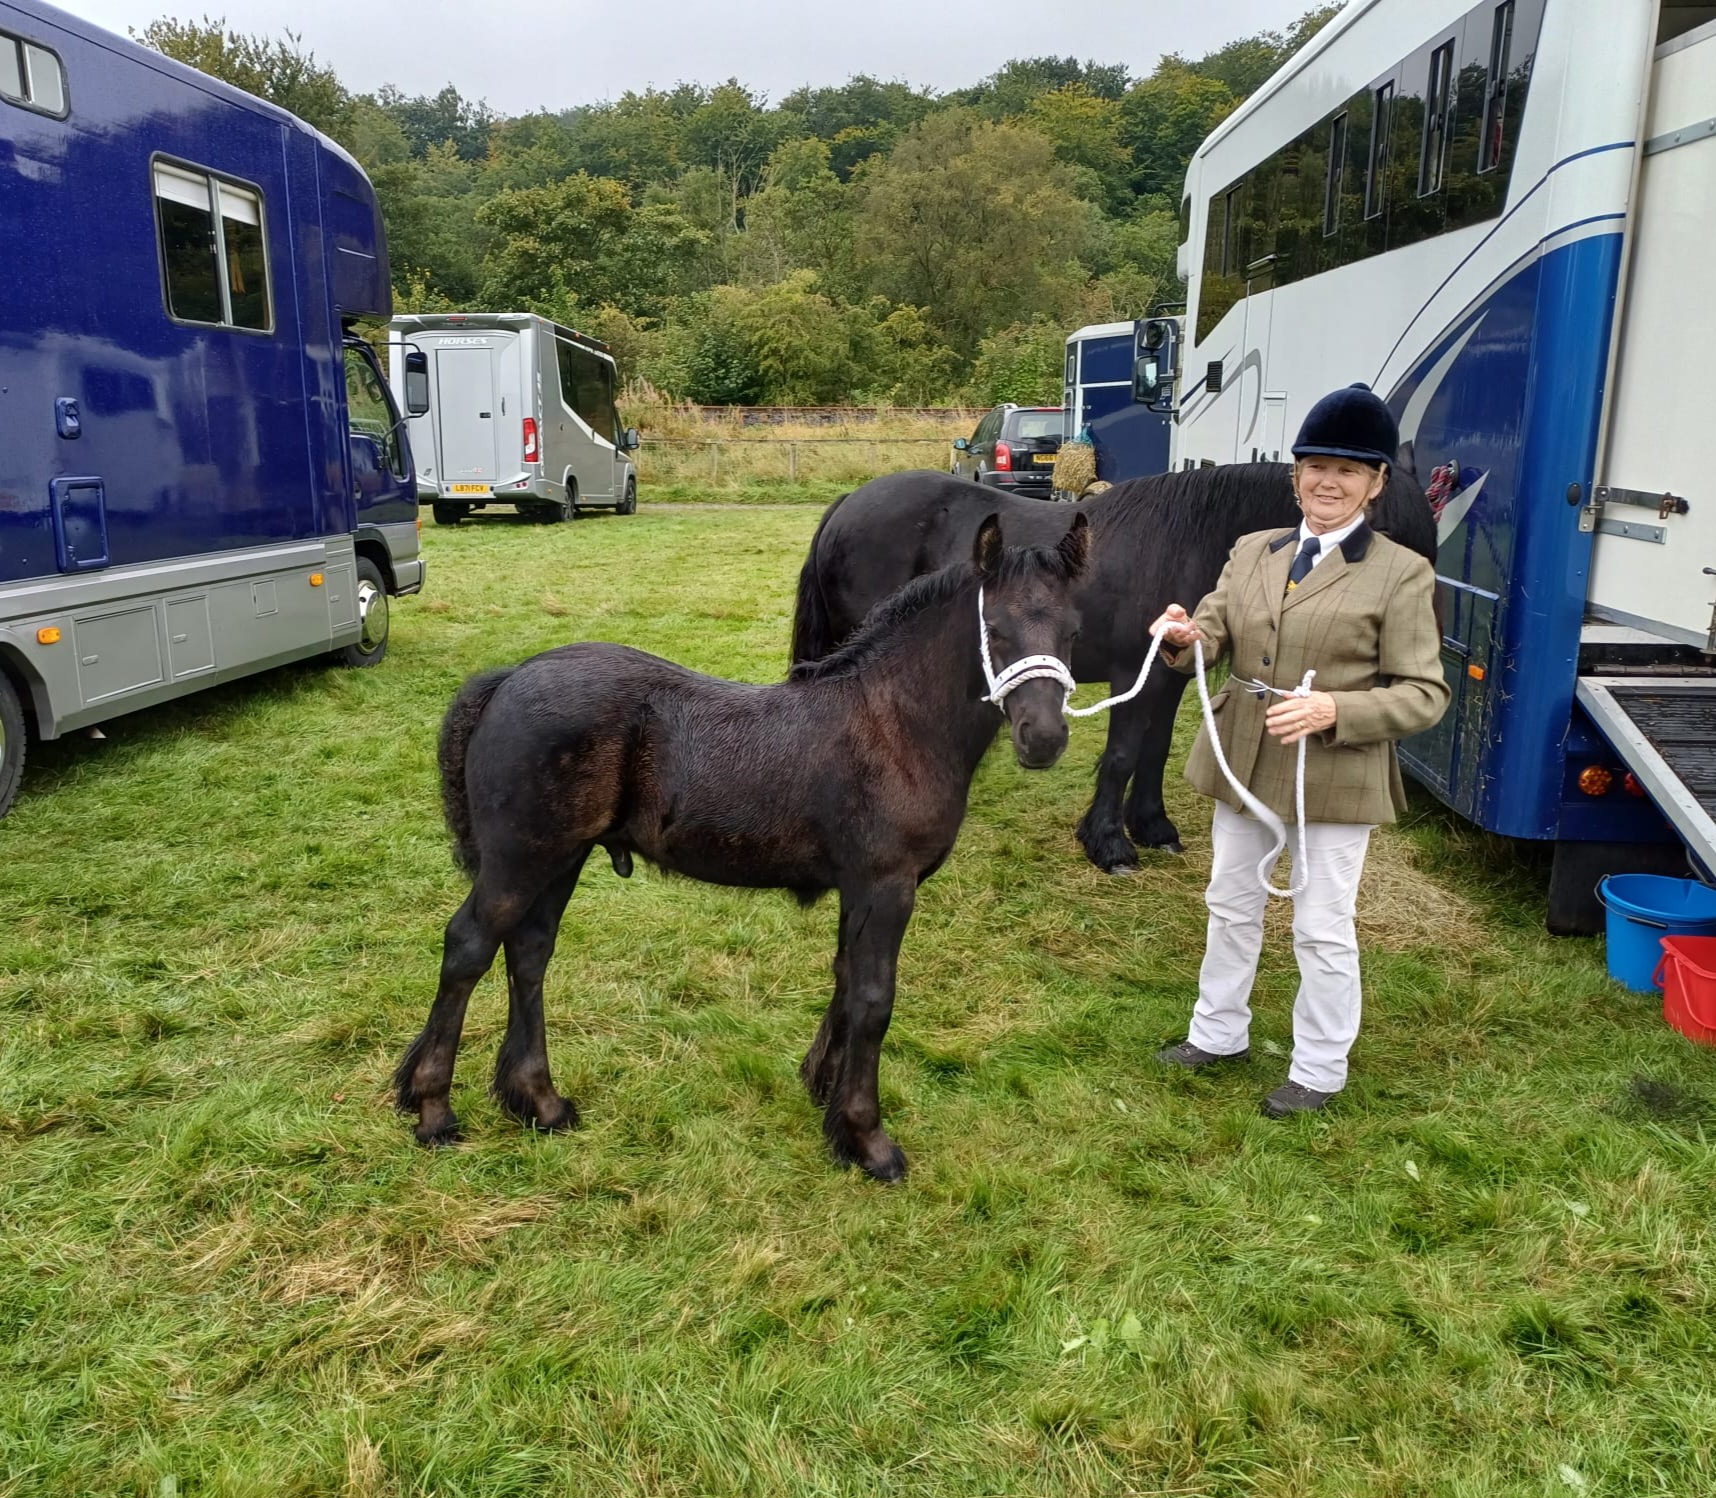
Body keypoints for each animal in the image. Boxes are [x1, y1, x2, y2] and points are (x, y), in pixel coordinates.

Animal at [398, 514, 1084, 1180]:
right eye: (993, 629)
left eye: (1071, 630)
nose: (1044, 737)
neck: (895, 723)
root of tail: (510, 677)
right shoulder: (887, 886)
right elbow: (873, 999)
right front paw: (867, 1139)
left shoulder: (857, 889)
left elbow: (844, 978)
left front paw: (824, 1091)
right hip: (520, 859)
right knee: (469, 947)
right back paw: (433, 1109)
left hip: (560, 857)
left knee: (530, 951)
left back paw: (539, 1101)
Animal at [789, 463, 1434, 871]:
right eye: (1384, 531)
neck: (1185, 538)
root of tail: (848, 504)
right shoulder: (1131, 676)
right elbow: (1123, 754)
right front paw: (1109, 845)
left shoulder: (1169, 673)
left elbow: (1155, 750)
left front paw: (1153, 828)